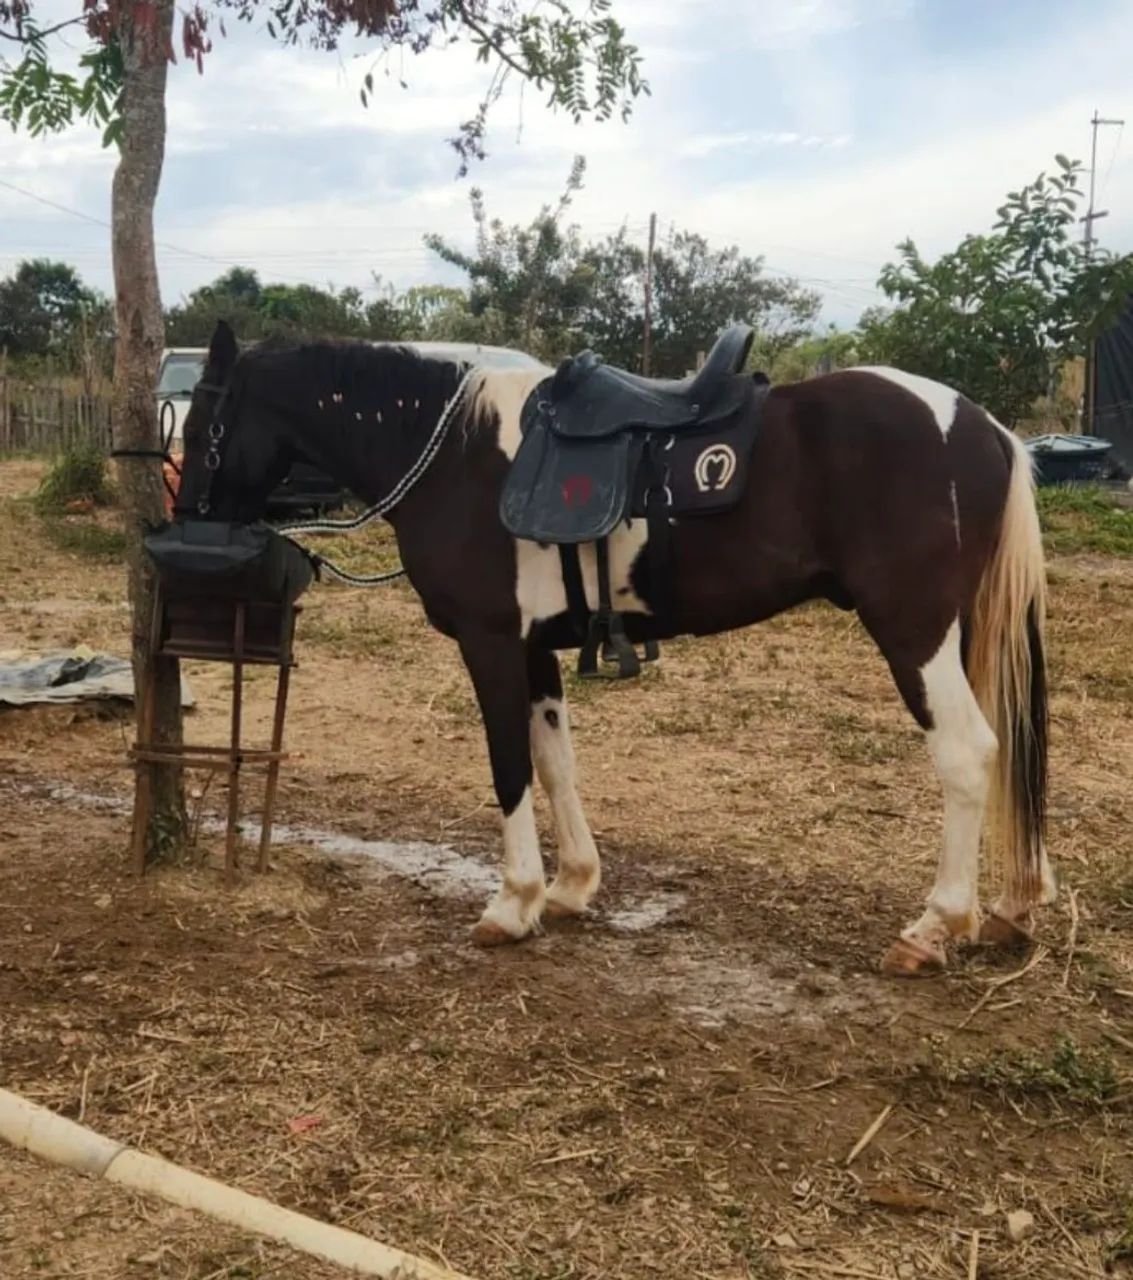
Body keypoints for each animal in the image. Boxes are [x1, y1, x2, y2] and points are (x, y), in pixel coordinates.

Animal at [174, 319, 1052, 976]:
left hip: (913, 629)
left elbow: (507, 767)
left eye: (205, 418)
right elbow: (555, 761)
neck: (453, 453)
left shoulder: (490, 644)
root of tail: (985, 428)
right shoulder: (534, 649)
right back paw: (1014, 903)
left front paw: (510, 903)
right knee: (1007, 748)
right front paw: (568, 887)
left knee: (968, 752)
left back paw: (934, 927)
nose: (188, 526)